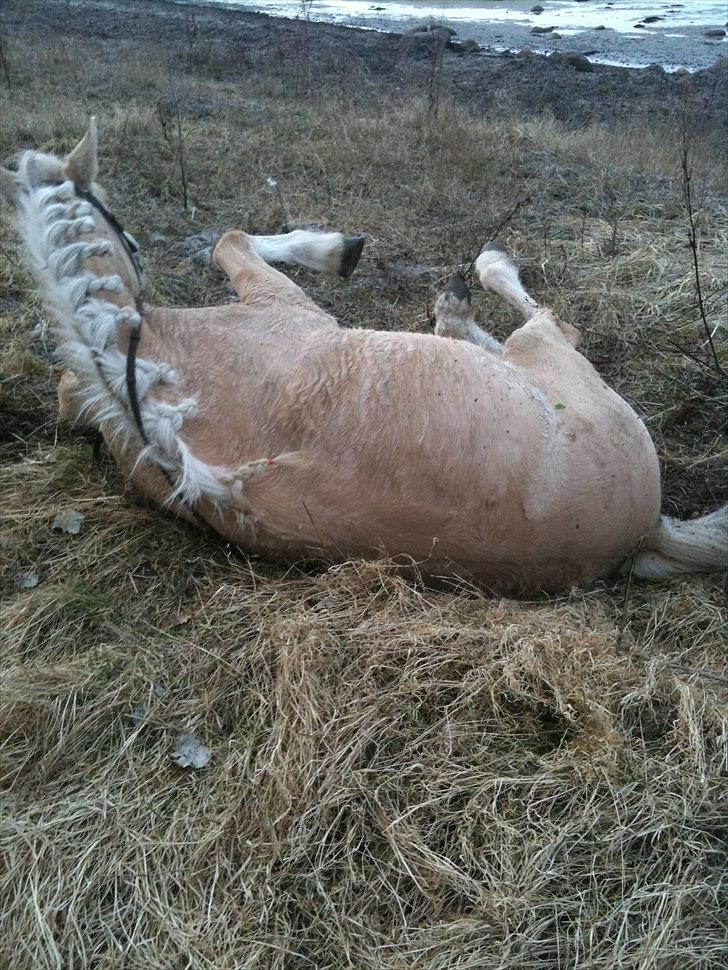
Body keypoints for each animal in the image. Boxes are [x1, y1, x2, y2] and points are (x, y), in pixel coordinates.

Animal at [0, 119, 724, 588]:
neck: (156, 386)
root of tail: (645, 532)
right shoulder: (282, 303)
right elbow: (230, 240)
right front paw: (339, 250)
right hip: (549, 362)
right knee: (549, 320)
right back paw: (472, 281)